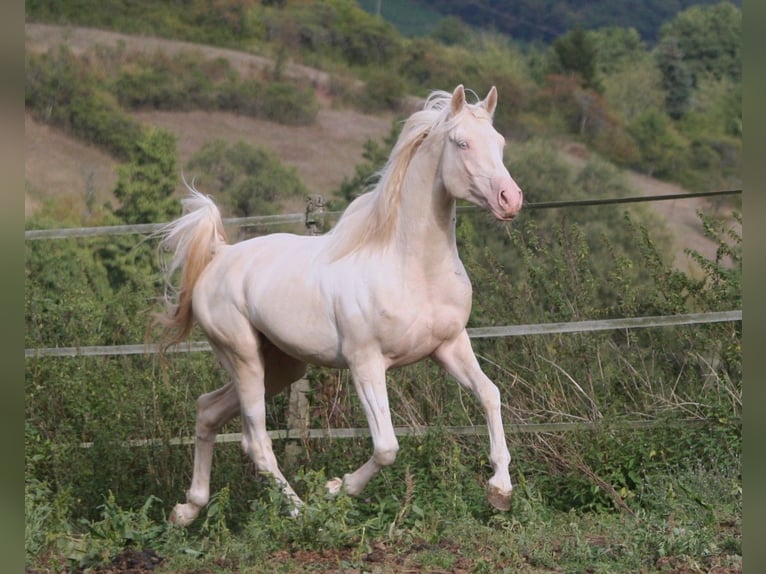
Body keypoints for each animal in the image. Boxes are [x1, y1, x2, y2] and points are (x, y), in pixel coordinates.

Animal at [156, 85, 528, 528]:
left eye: (501, 142)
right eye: (461, 142)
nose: (510, 199)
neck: (410, 267)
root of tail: (218, 256)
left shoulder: (450, 345)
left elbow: (490, 394)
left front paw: (500, 490)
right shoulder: (365, 363)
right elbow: (386, 446)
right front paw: (337, 488)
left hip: (281, 366)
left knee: (208, 410)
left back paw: (187, 509)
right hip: (243, 356)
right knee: (256, 442)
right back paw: (303, 512)